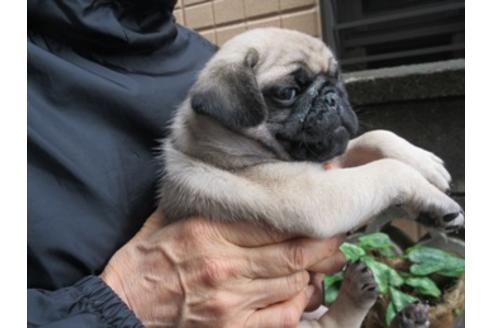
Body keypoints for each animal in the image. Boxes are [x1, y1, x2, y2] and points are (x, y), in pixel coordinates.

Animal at [159, 26, 466, 326]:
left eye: (337, 76)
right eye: (287, 92)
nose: (332, 96)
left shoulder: (332, 161)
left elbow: (376, 136)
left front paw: (425, 164)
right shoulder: (315, 195)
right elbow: (388, 168)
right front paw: (435, 201)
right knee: (332, 323)